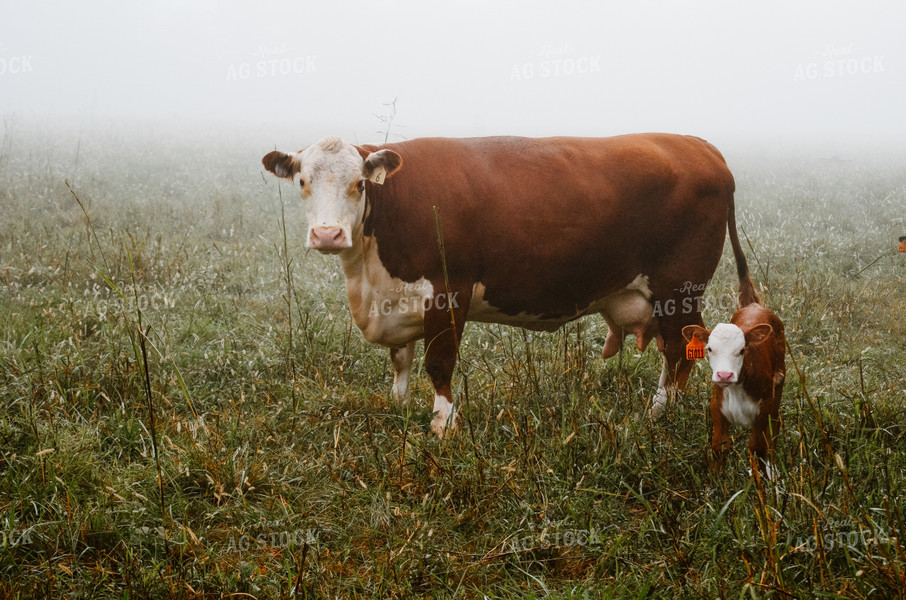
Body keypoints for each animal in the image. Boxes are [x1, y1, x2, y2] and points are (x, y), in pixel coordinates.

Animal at [260, 134, 756, 434]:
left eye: (360, 184)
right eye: (302, 181)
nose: (327, 235)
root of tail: (700, 146)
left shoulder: (447, 293)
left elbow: (438, 364)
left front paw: (442, 425)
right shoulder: (396, 302)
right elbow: (401, 361)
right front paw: (399, 408)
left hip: (678, 291)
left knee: (679, 350)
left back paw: (658, 412)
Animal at [680, 308, 784, 476]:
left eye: (742, 350)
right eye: (709, 349)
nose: (724, 375)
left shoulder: (764, 408)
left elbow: (757, 448)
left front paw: (762, 478)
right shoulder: (717, 406)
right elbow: (720, 445)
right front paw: (717, 479)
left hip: (779, 383)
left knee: (776, 423)